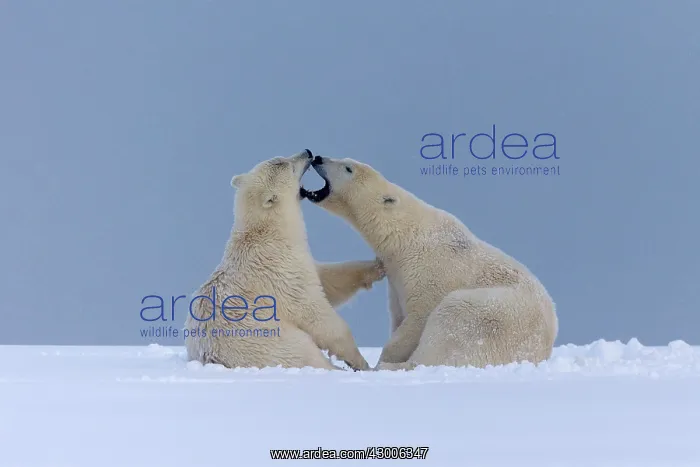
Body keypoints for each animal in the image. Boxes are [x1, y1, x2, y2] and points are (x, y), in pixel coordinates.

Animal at [184, 150, 385, 371]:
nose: (307, 152)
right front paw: (361, 362)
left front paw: (378, 266)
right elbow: (319, 316)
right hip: (273, 343)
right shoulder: (283, 274)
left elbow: (329, 279)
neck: (268, 233)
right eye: (283, 163)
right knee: (305, 353)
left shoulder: (297, 261)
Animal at [301, 154, 558, 370]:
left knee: (450, 330)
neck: (406, 235)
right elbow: (398, 316)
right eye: (345, 161)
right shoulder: (396, 279)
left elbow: (418, 317)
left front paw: (384, 359)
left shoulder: (429, 271)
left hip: (492, 316)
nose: (319, 157)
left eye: (348, 168)